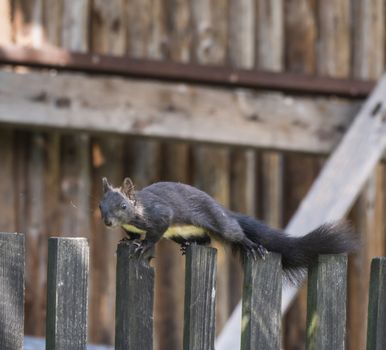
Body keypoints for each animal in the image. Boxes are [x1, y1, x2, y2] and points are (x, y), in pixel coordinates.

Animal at [99, 178, 356, 282]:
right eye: (100, 205)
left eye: (123, 206)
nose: (108, 222)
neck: (138, 209)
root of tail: (223, 209)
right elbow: (132, 234)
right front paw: (126, 240)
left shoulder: (161, 215)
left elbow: (154, 234)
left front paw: (143, 246)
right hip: (182, 232)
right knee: (205, 240)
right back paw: (189, 246)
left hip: (221, 223)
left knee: (236, 234)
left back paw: (252, 246)